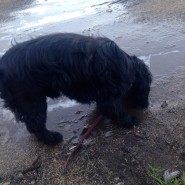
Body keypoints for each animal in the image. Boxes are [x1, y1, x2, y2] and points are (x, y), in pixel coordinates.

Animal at [0, 33, 152, 146]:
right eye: (146, 89)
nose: (146, 105)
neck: (128, 66)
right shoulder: (110, 95)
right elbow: (116, 110)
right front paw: (129, 121)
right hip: (32, 100)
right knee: (35, 124)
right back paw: (51, 138)